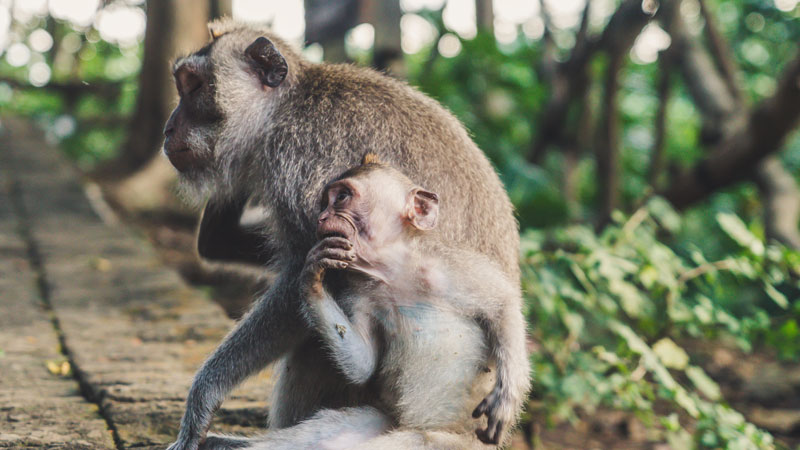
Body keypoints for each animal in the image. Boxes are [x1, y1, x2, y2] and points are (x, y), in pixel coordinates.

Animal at [300, 156, 532, 446]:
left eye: (341, 197)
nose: (321, 217)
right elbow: (363, 363)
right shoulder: (359, 294)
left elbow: (504, 305)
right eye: (325, 203)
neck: (393, 272)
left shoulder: (451, 266)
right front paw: (312, 277)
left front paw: (505, 398)